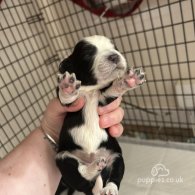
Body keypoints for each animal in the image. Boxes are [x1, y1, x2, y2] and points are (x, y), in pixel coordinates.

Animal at [54, 35, 145, 195]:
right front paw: (67, 86)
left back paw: (109, 189)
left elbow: (114, 89)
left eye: (115, 47)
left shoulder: (105, 100)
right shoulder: (70, 105)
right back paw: (94, 169)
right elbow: (66, 98)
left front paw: (129, 80)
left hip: (116, 158)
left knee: (114, 177)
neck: (91, 90)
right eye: (88, 55)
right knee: (80, 173)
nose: (114, 56)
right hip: (63, 158)